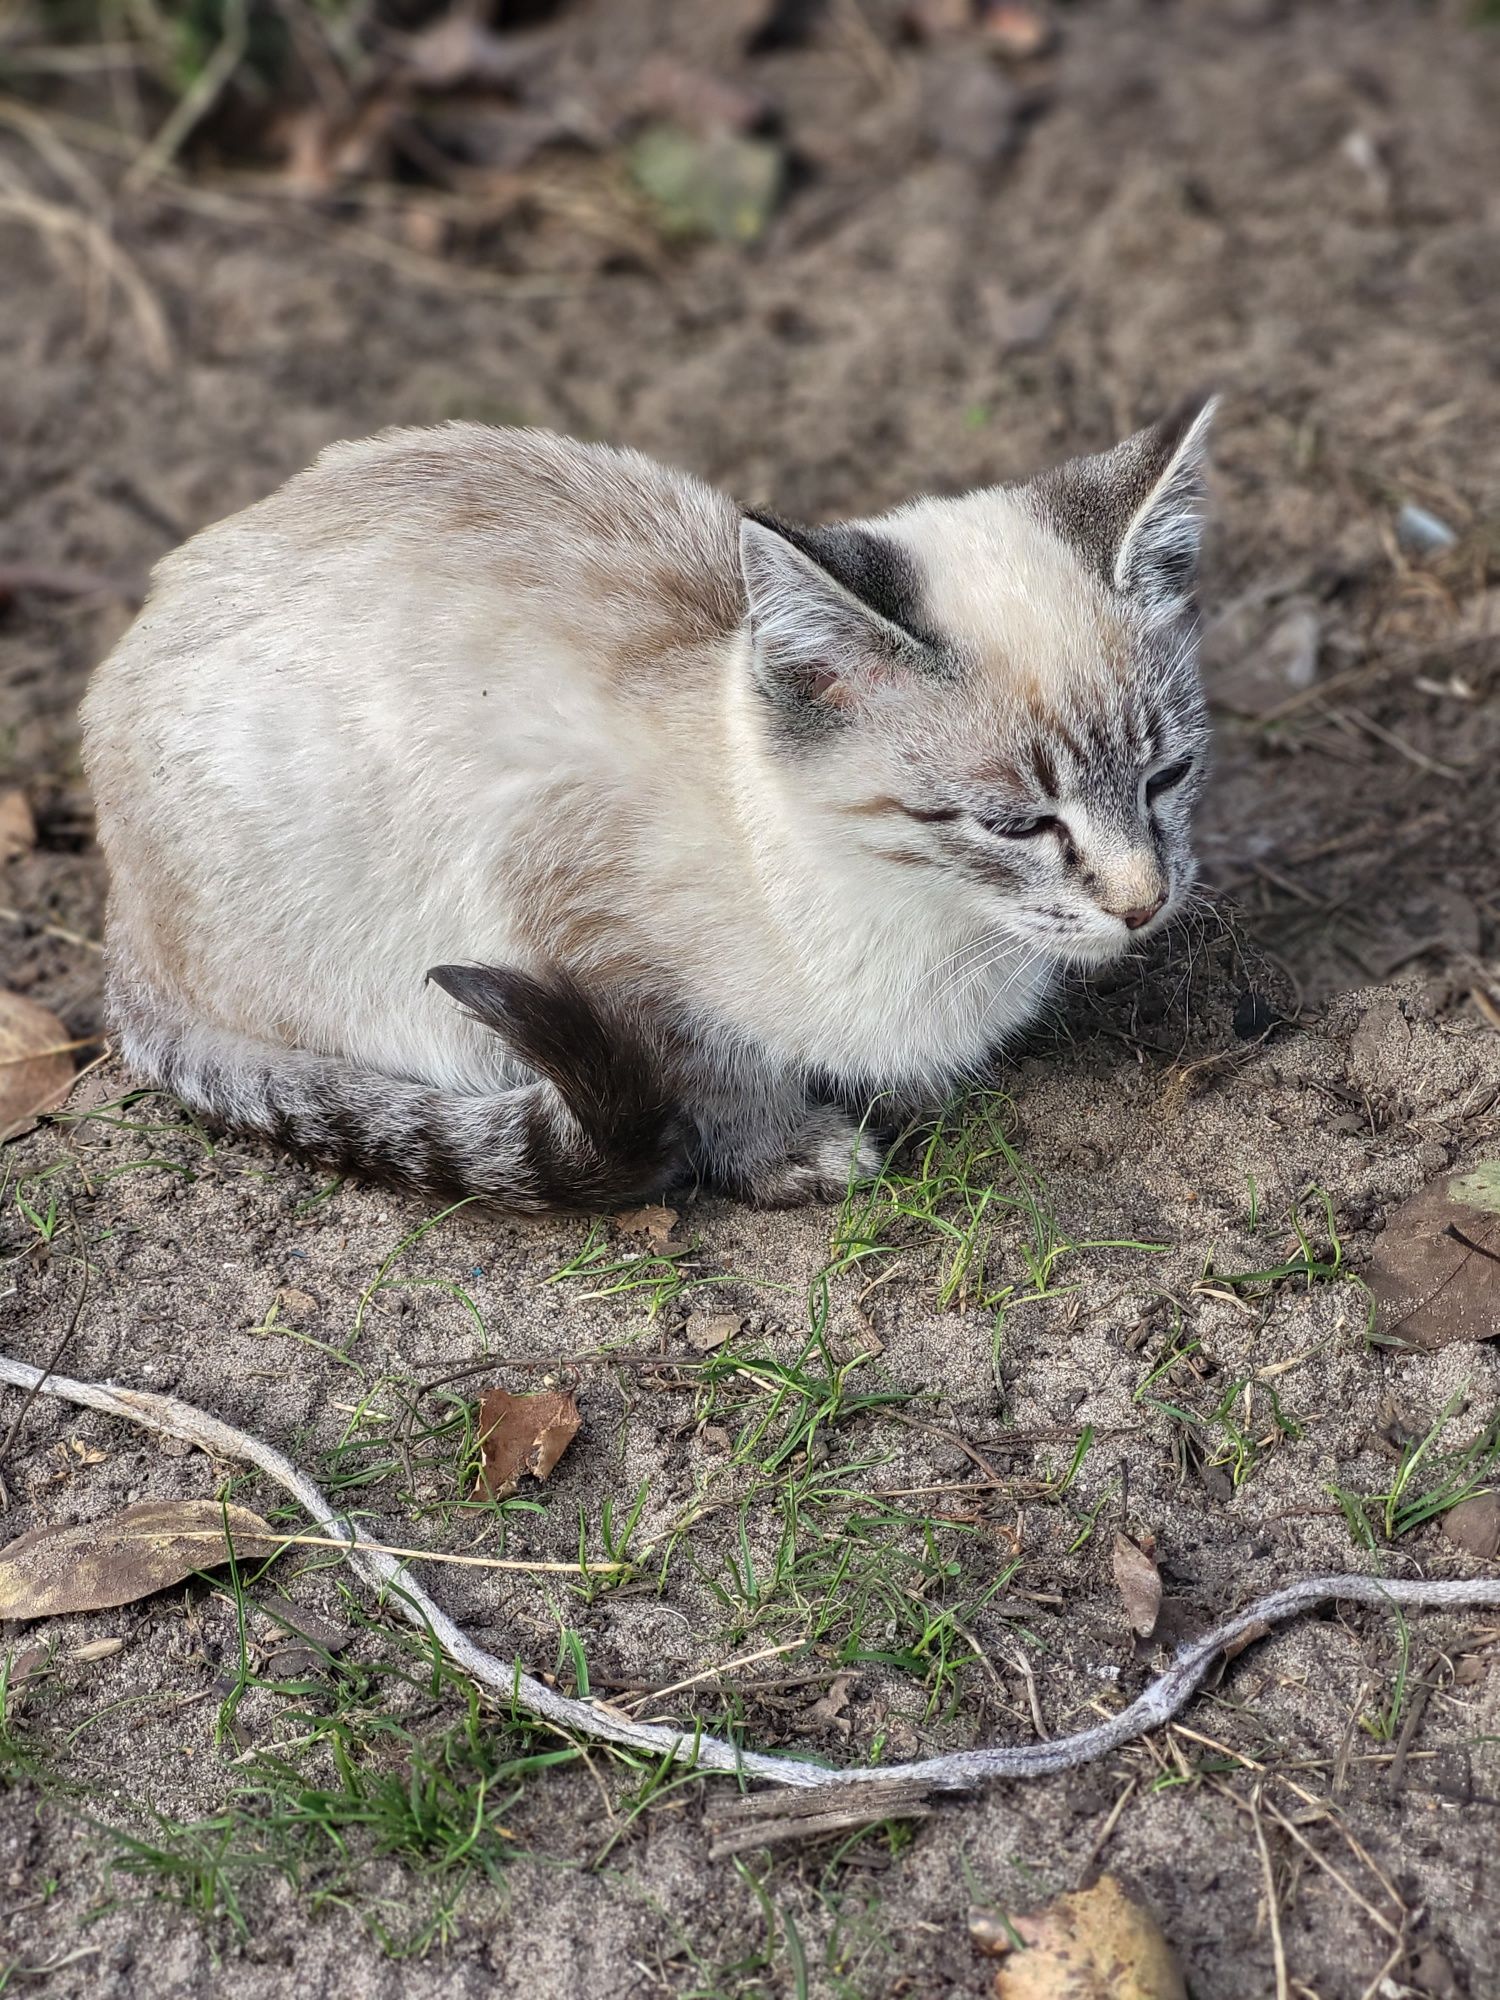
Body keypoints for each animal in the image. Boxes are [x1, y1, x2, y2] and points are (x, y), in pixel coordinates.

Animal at [79, 404, 1224, 1200]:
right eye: (1018, 823)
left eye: (1165, 776)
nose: (1144, 903)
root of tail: (118, 929)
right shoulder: (568, 911)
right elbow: (705, 1067)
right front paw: (790, 1157)